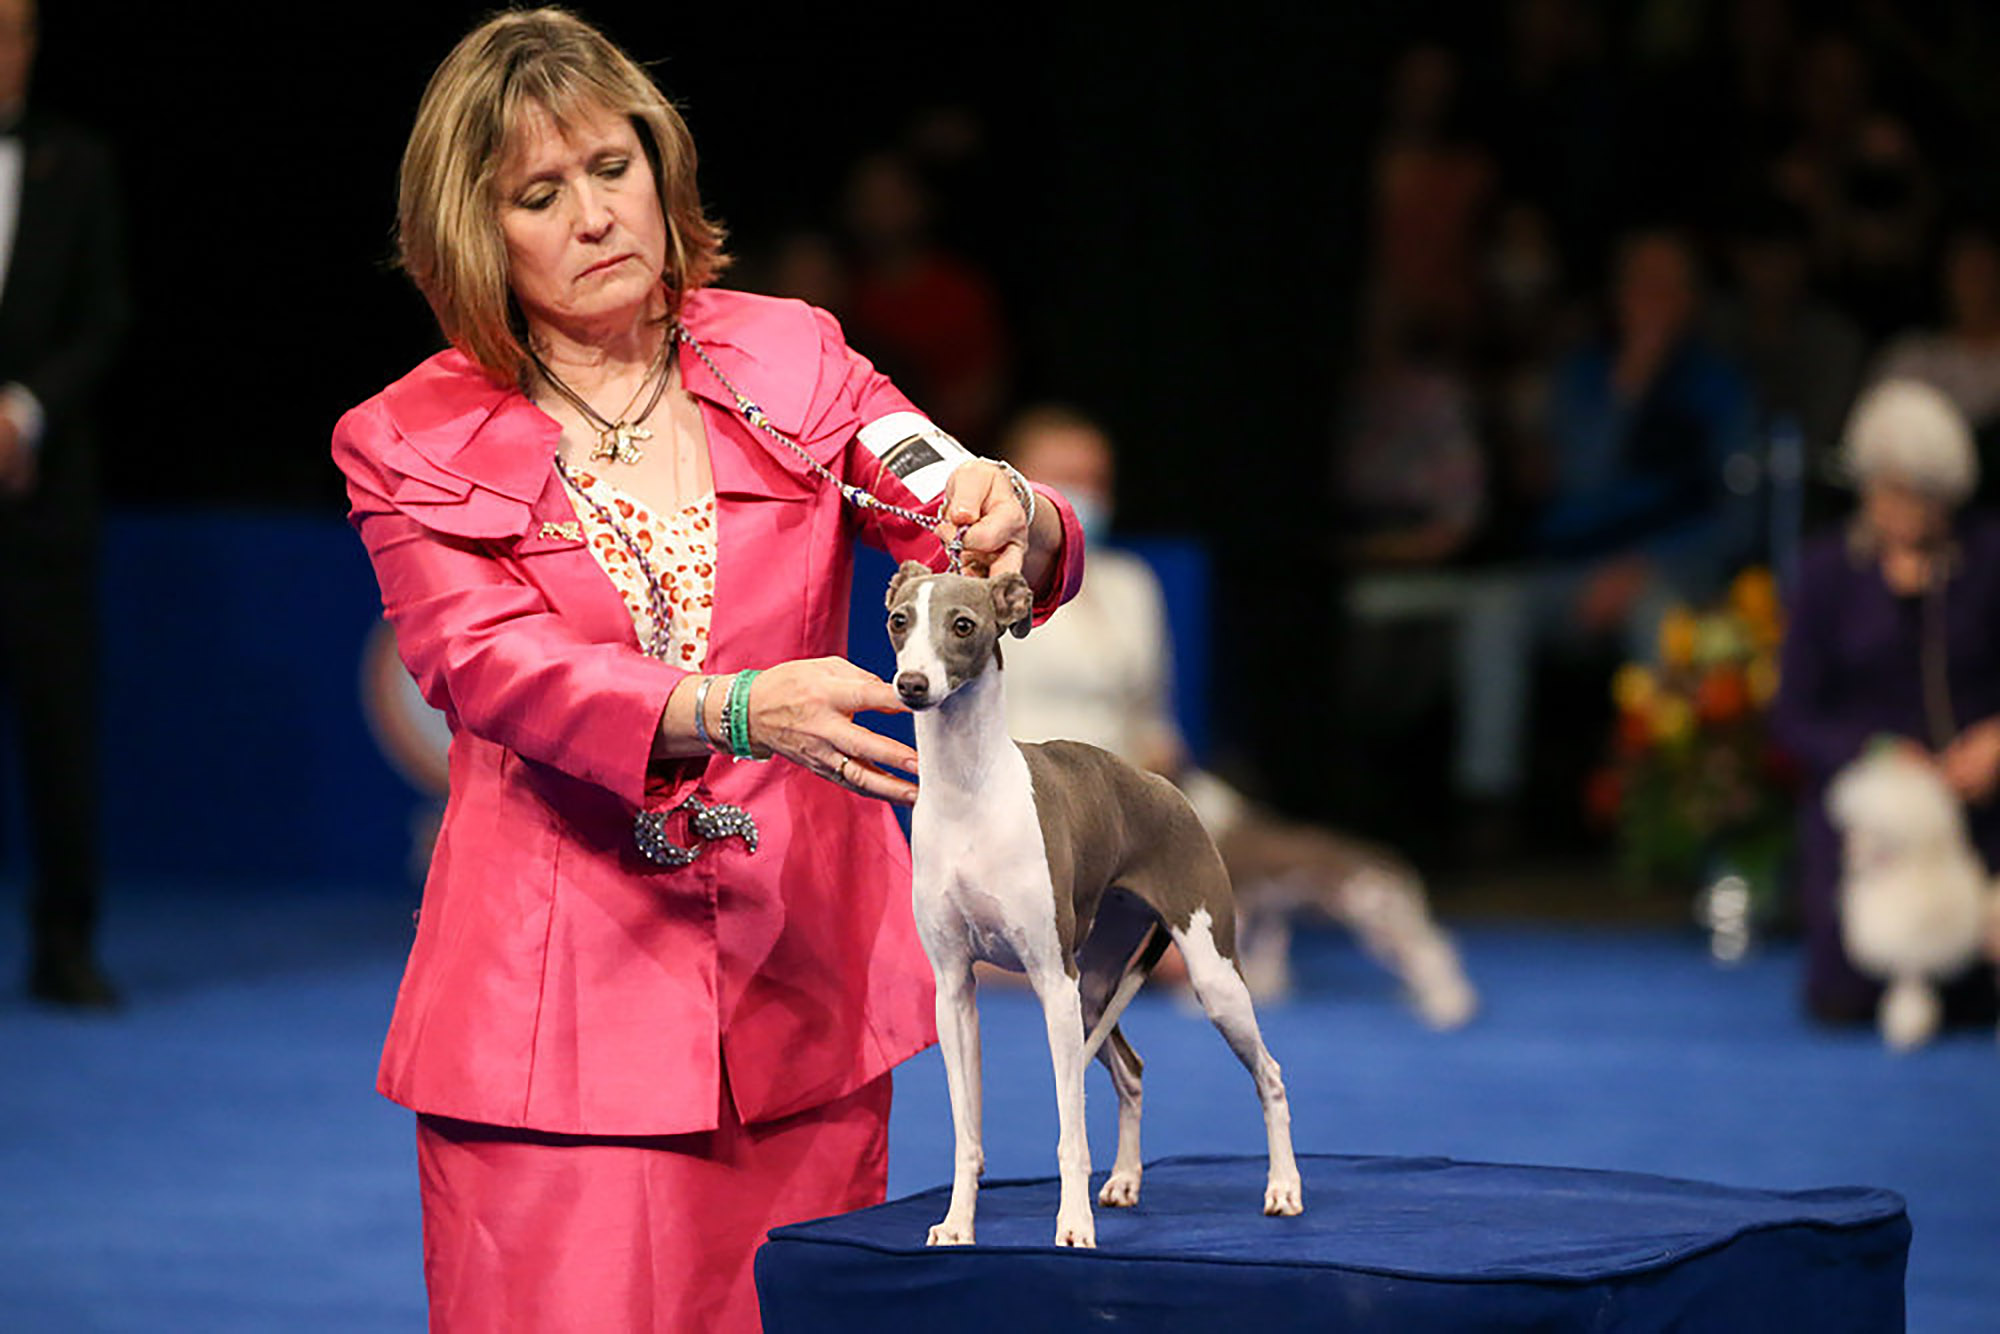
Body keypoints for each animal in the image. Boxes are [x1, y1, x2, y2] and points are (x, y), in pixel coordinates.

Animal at [888, 560, 1296, 1248]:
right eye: (898, 619)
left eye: (963, 625)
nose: (911, 685)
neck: (971, 792)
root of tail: (1168, 787)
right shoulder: (954, 988)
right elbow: (967, 1132)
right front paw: (957, 1223)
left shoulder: (1052, 980)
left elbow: (1070, 1133)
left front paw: (1073, 1225)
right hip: (1096, 985)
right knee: (1130, 1070)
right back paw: (1126, 1180)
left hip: (1204, 977)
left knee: (1269, 1074)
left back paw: (1284, 1188)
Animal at [1832, 748, 2000, 1048]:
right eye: (1855, 829)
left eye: (1878, 834)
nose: (1849, 851)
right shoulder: (1906, 961)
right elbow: (1906, 992)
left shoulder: (1914, 955)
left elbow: (1911, 996)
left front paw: (1906, 1033)